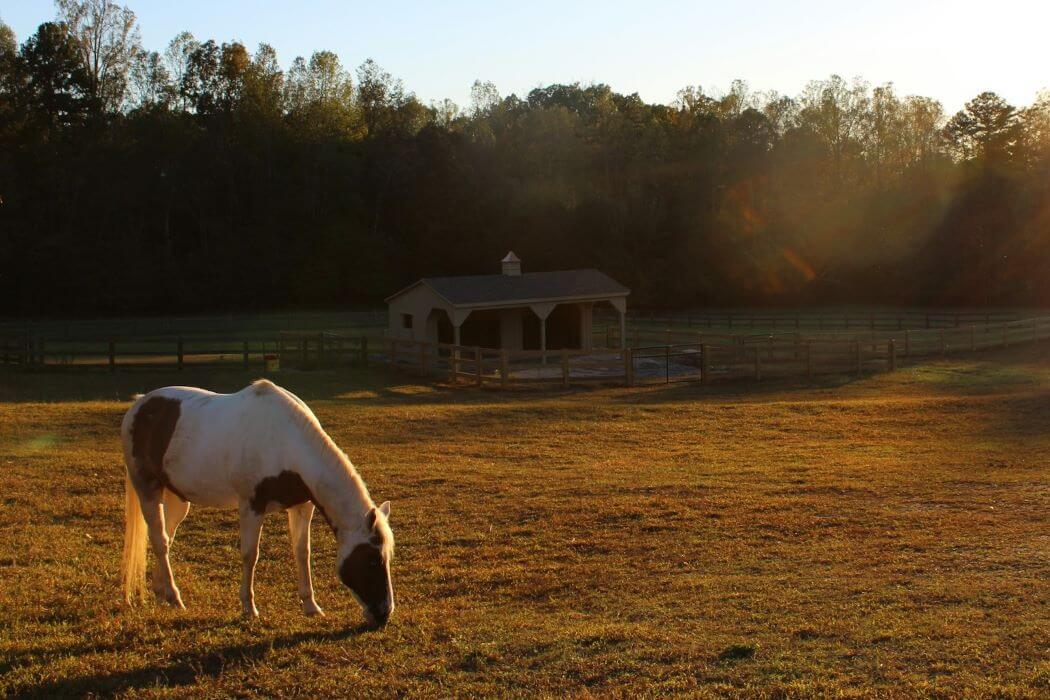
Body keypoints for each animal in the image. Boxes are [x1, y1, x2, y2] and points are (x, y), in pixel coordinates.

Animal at [119, 379, 395, 625]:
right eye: (373, 559)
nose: (384, 614)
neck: (285, 442)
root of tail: (139, 404)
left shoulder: (302, 506)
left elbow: (302, 551)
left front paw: (310, 605)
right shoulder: (251, 506)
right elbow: (250, 554)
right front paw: (248, 607)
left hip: (177, 499)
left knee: (166, 537)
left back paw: (162, 594)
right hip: (147, 489)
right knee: (159, 540)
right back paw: (175, 598)